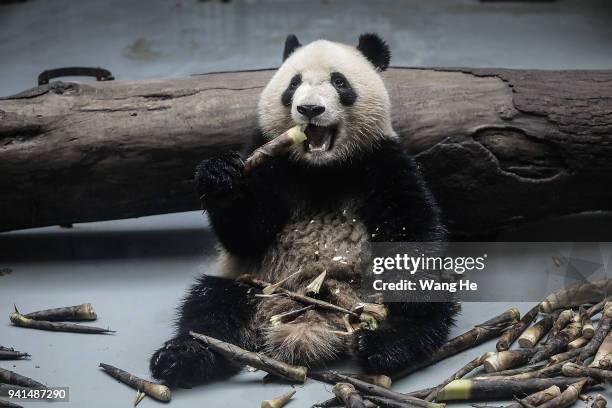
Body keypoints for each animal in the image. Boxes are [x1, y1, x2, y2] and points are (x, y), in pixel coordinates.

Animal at [148, 33, 456, 388]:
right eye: (293, 84)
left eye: (339, 82)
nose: (309, 109)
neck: (321, 169)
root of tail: (307, 317)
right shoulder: (269, 160)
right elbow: (246, 233)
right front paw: (219, 177)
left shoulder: (381, 160)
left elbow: (410, 224)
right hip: (253, 283)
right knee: (208, 307)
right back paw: (183, 357)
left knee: (427, 315)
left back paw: (384, 344)